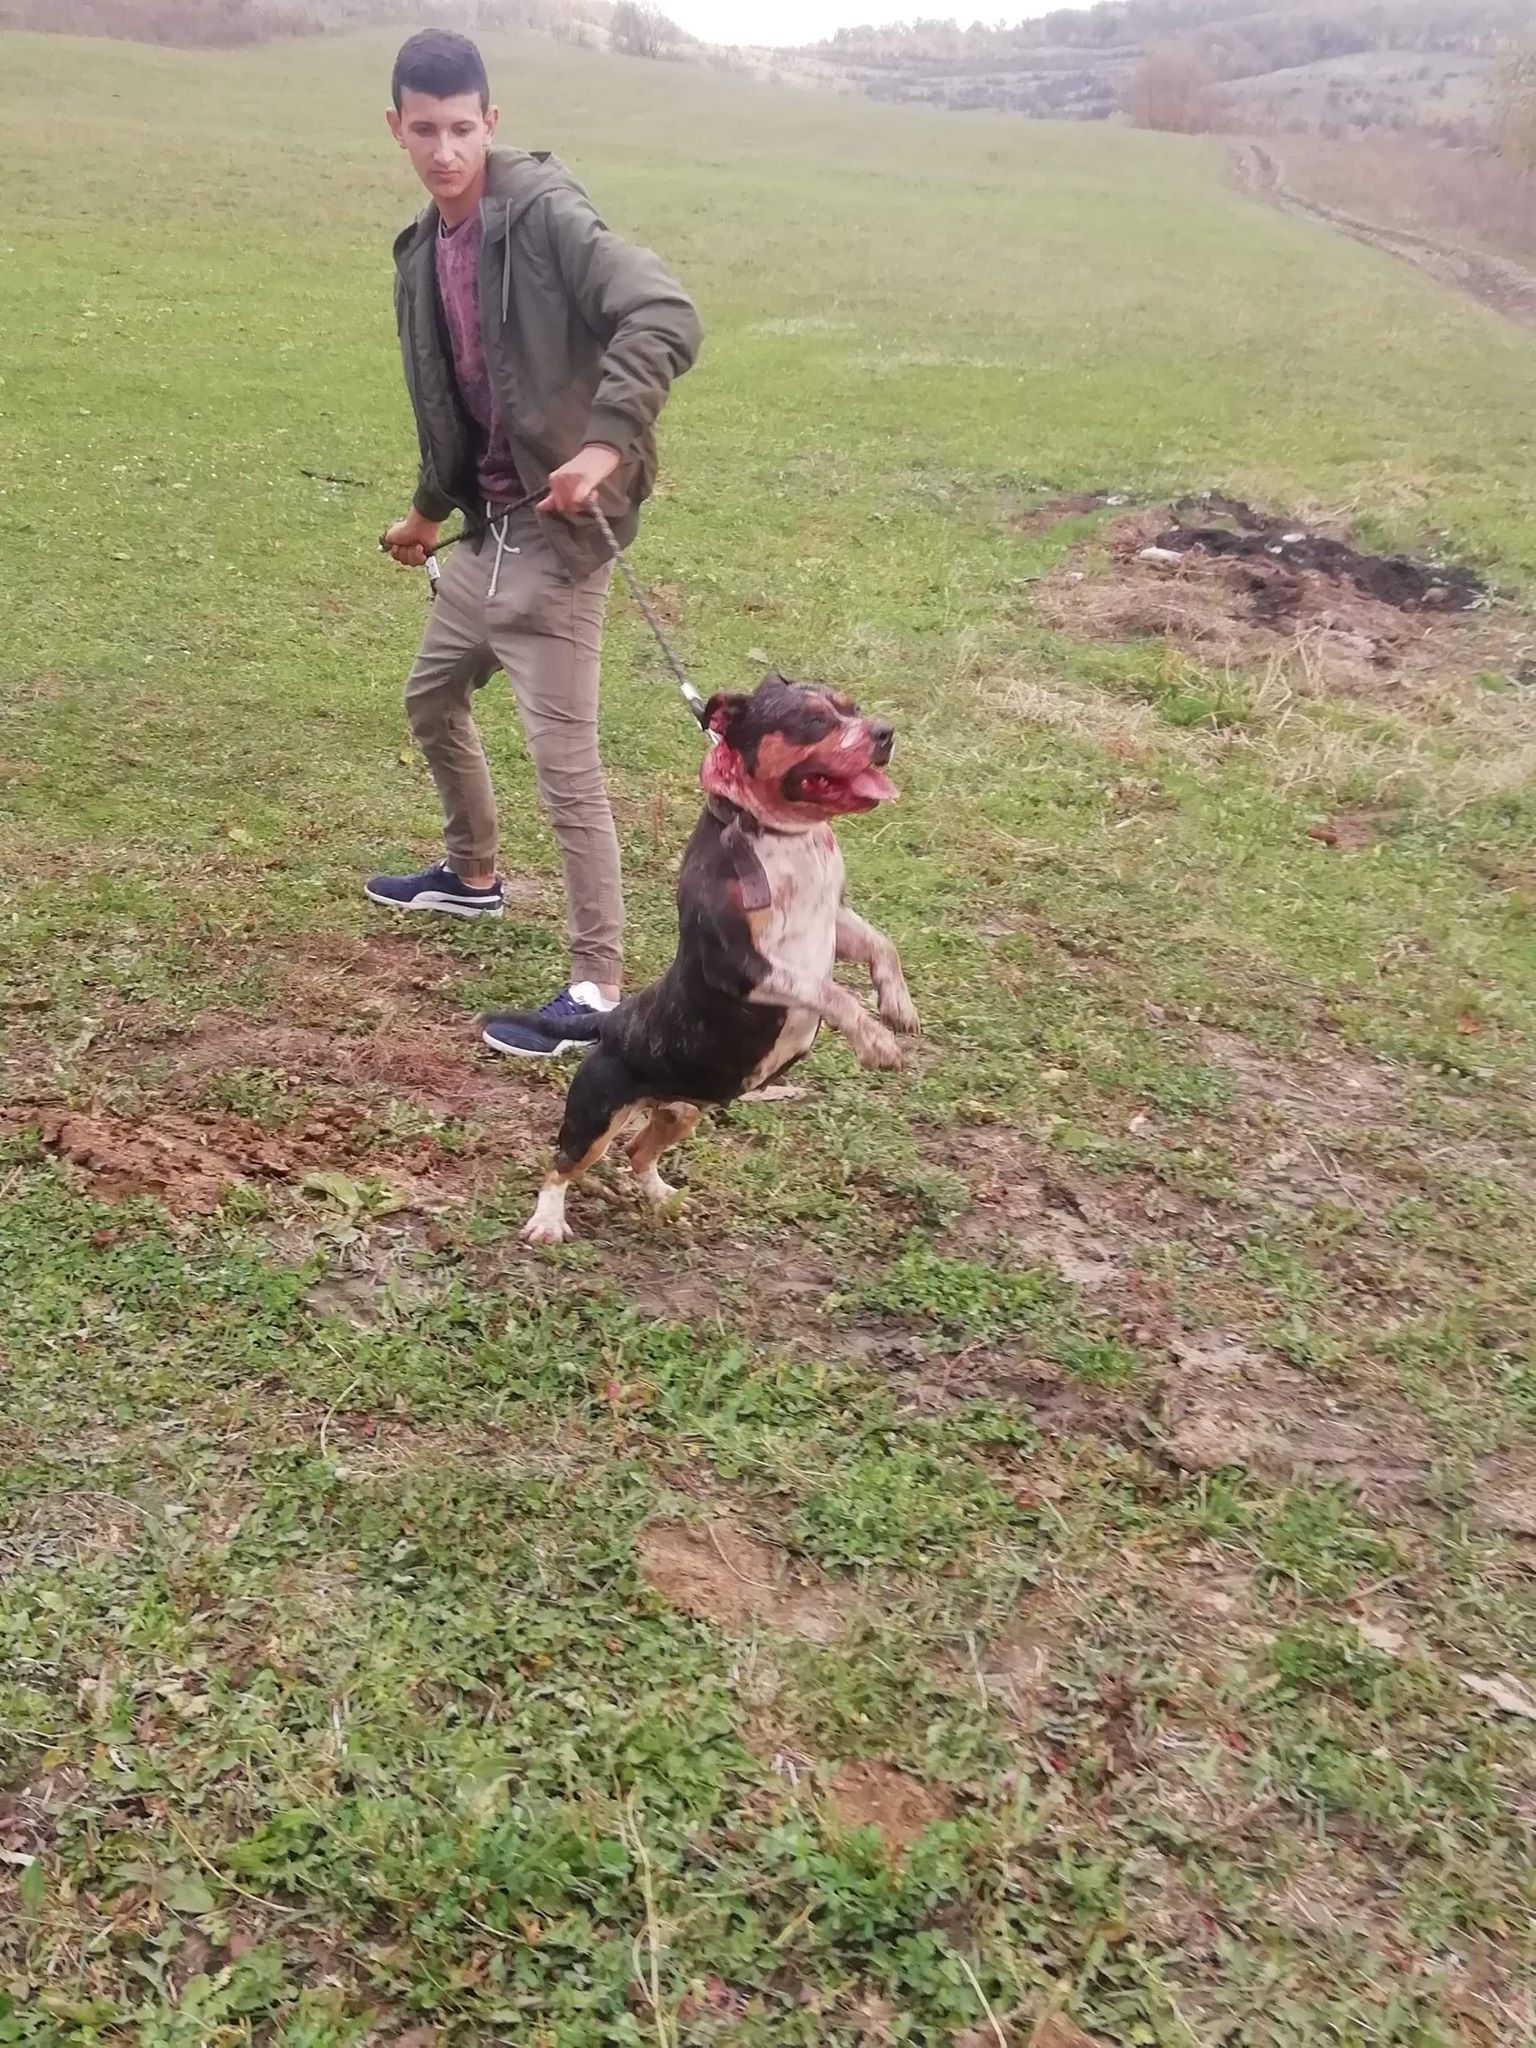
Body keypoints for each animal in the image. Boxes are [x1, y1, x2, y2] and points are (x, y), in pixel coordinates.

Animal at [514, 674, 919, 1245]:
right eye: (813, 720)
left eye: (852, 708)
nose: (885, 733)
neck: (782, 836)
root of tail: (612, 1022)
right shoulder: (741, 965)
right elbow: (829, 990)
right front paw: (875, 1041)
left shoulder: (834, 923)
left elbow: (884, 946)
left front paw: (899, 1007)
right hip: (596, 1112)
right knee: (562, 1164)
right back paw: (548, 1223)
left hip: (681, 1111)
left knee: (638, 1151)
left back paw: (662, 1196)